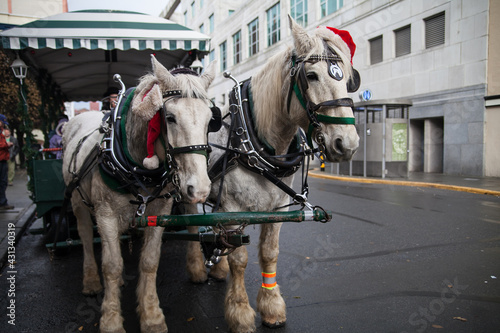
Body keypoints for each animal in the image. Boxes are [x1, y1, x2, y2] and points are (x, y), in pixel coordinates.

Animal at [62, 55, 215, 330]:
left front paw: (151, 315)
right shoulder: (105, 214)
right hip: (78, 202)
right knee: (86, 236)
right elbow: (111, 265)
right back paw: (91, 280)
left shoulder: (160, 211)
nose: (199, 188)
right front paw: (111, 320)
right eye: (170, 117)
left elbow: (149, 261)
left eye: (211, 119)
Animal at [186, 18, 362, 332]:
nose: (348, 144)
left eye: (348, 80)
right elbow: (240, 259)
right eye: (311, 76)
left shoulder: (277, 208)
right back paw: (197, 268)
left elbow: (270, 253)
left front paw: (271, 306)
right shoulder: (233, 210)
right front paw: (240, 313)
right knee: (193, 225)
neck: (255, 140)